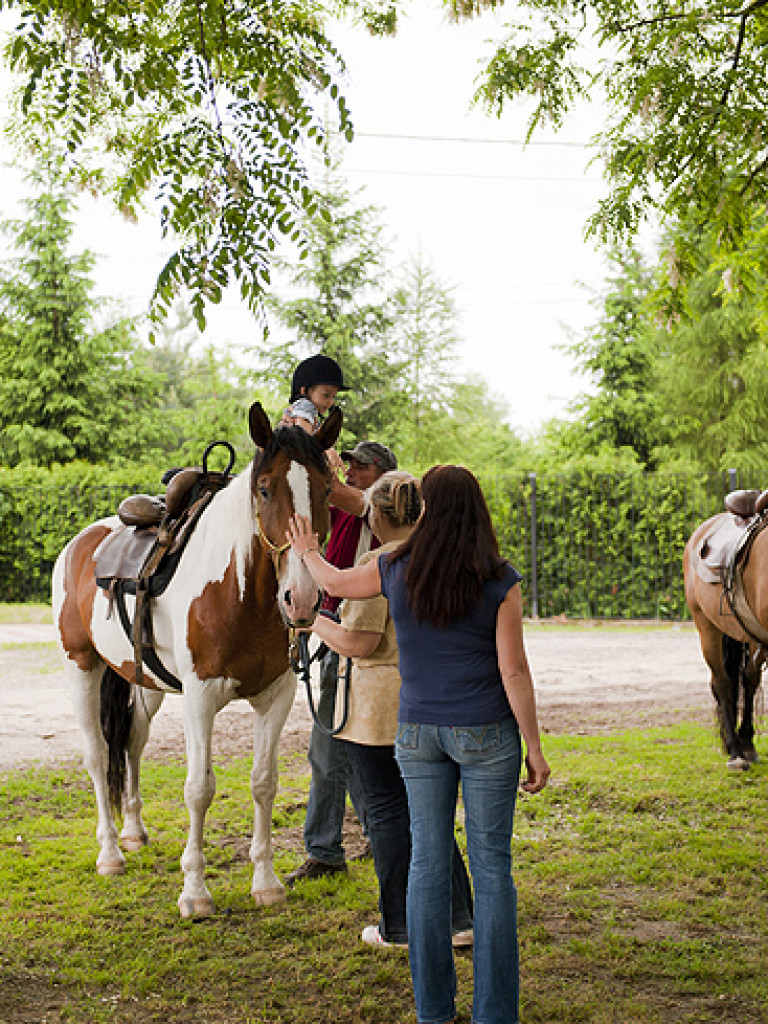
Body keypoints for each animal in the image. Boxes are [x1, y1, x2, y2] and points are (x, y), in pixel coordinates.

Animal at [52, 399, 342, 913]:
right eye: (264, 489)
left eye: (326, 489)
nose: (303, 599)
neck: (240, 591)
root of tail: (81, 543)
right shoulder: (200, 697)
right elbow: (199, 789)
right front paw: (195, 892)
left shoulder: (276, 696)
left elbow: (264, 782)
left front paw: (266, 882)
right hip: (81, 668)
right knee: (97, 754)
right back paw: (110, 853)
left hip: (143, 682)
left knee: (132, 742)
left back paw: (134, 833)